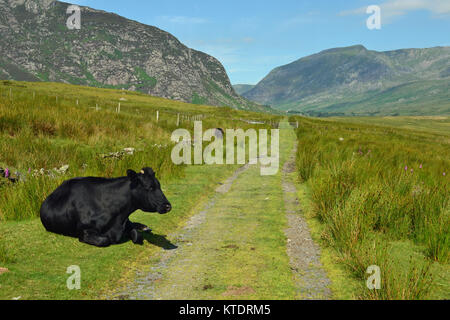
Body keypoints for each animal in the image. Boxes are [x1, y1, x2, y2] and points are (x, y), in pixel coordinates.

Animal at [39, 168, 172, 248]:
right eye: (149, 187)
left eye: (159, 185)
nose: (168, 206)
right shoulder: (85, 232)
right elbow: (104, 240)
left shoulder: (125, 222)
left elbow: (137, 235)